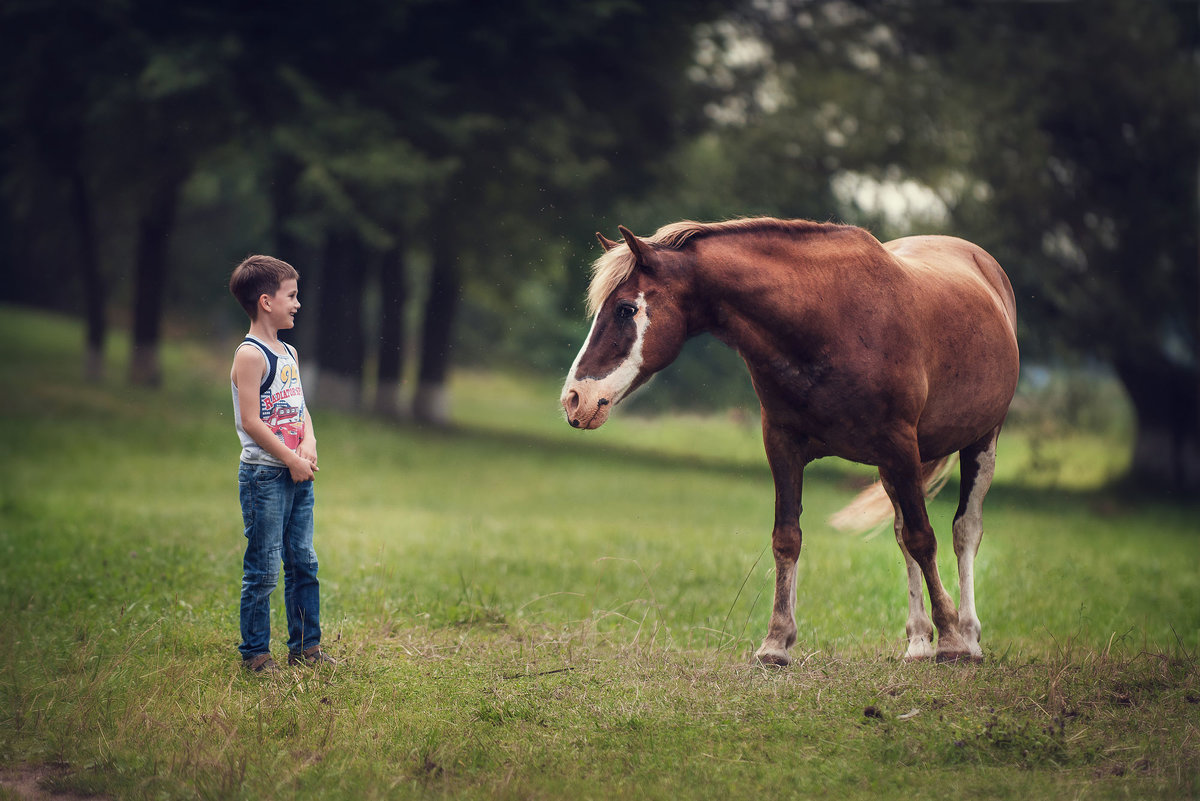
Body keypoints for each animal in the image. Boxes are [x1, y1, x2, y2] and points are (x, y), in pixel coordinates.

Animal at [556, 215, 1017, 666]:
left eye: (626, 309)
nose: (574, 399)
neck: (828, 321)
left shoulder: (901, 443)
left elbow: (926, 537)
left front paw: (951, 639)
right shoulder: (783, 444)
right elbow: (788, 538)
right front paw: (776, 642)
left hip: (980, 441)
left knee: (964, 531)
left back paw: (968, 635)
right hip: (891, 468)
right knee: (903, 533)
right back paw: (919, 641)